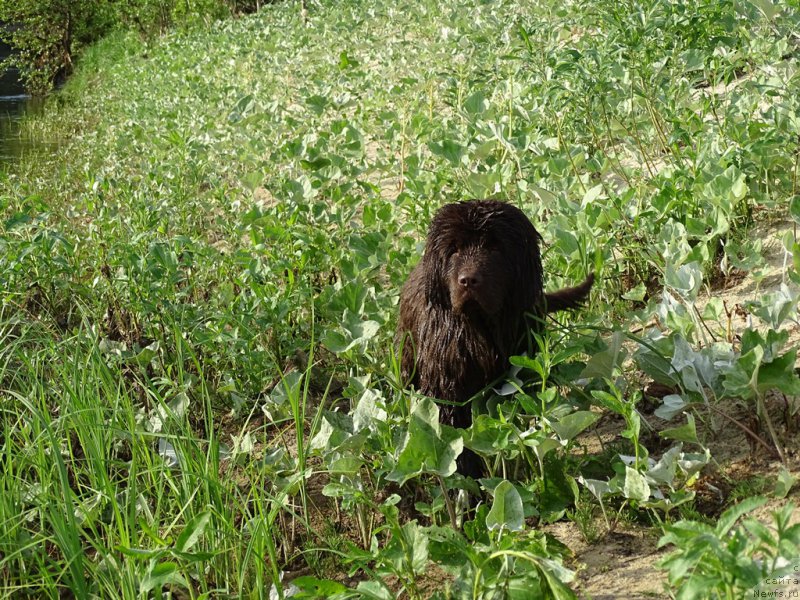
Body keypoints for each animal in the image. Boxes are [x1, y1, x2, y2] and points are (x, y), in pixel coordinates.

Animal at [396, 202, 592, 478]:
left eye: (495, 247)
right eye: (454, 250)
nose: (468, 280)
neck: (480, 327)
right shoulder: (447, 387)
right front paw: (467, 478)